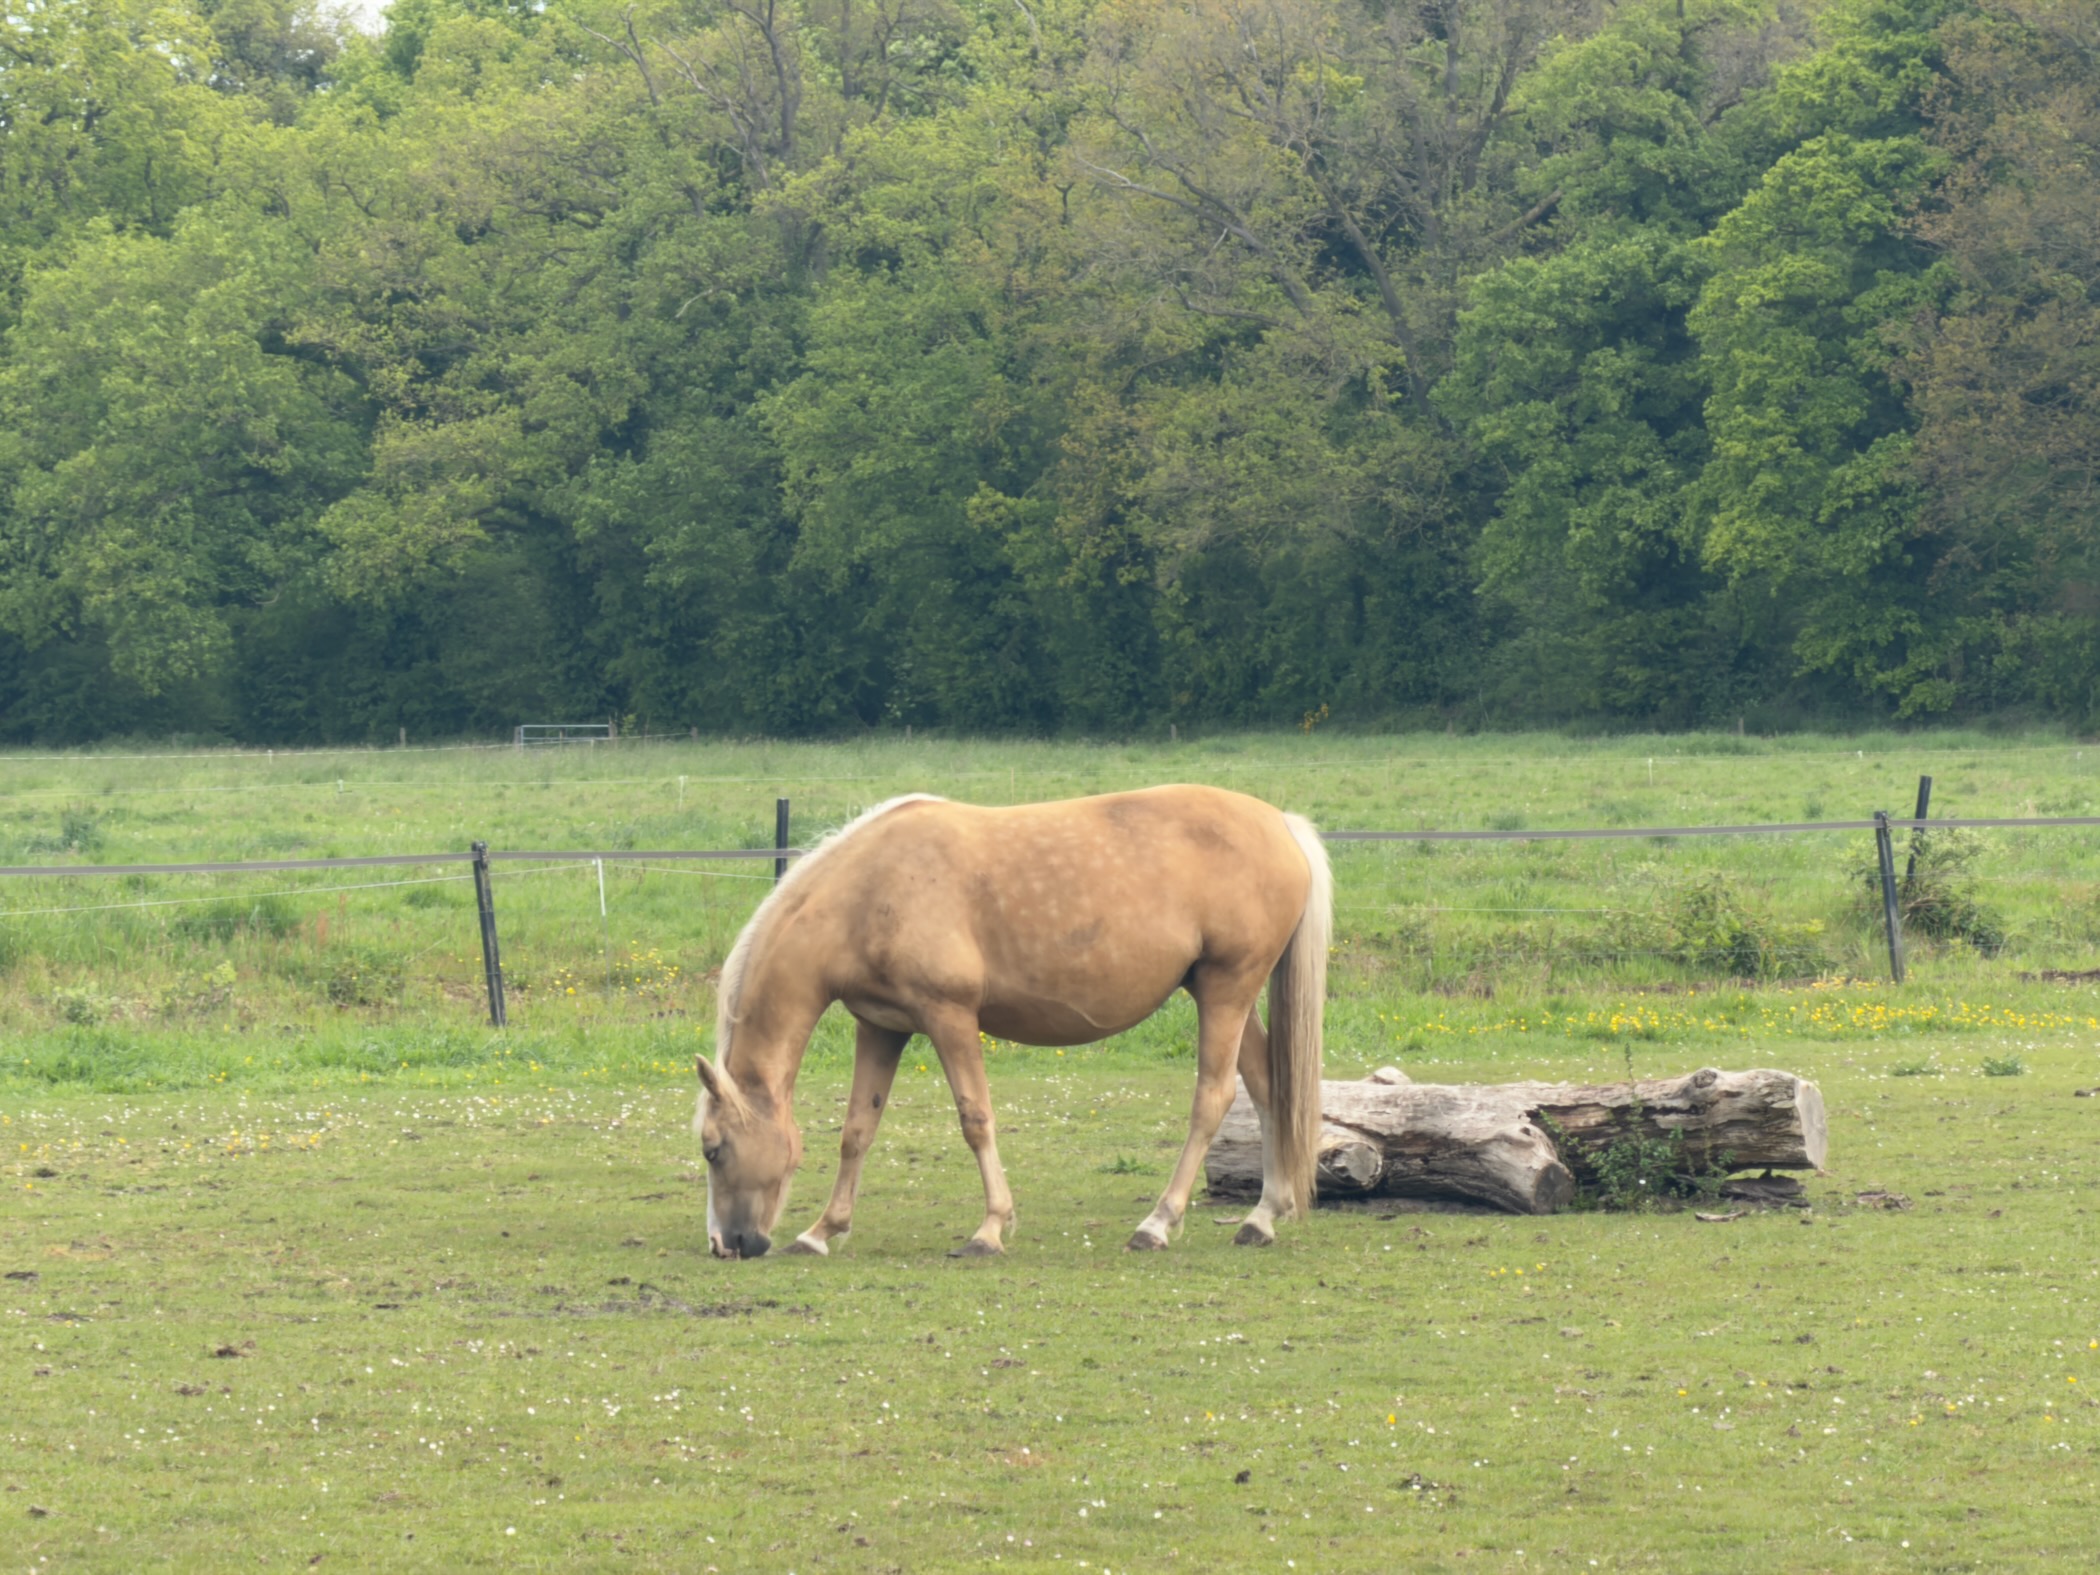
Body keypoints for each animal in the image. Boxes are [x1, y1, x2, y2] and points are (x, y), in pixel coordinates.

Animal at [693, 783, 1331, 1259]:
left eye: (712, 1149)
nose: (727, 1244)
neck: (868, 892)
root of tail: (1281, 823)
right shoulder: (881, 1026)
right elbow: (857, 1130)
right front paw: (822, 1231)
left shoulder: (948, 1017)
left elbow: (975, 1119)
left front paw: (990, 1229)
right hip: (1221, 993)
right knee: (1268, 1088)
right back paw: (1262, 1218)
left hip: (1227, 990)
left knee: (1213, 1098)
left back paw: (1157, 1224)